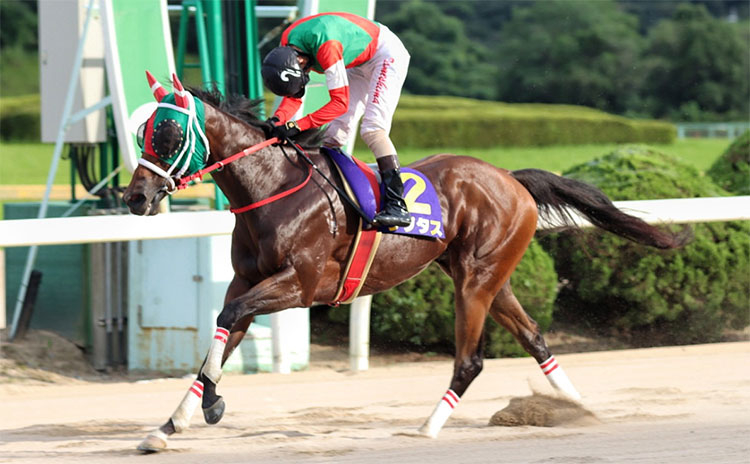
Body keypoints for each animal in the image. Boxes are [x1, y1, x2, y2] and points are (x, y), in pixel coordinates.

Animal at [123, 74, 688, 452]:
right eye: (142, 132)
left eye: (169, 134)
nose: (135, 198)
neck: (274, 189)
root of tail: (510, 177)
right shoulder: (246, 280)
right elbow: (221, 333)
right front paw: (170, 425)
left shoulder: (300, 285)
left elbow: (227, 319)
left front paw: (211, 407)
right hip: (487, 276)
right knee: (535, 338)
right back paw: (580, 409)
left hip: (475, 280)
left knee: (471, 360)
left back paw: (428, 427)